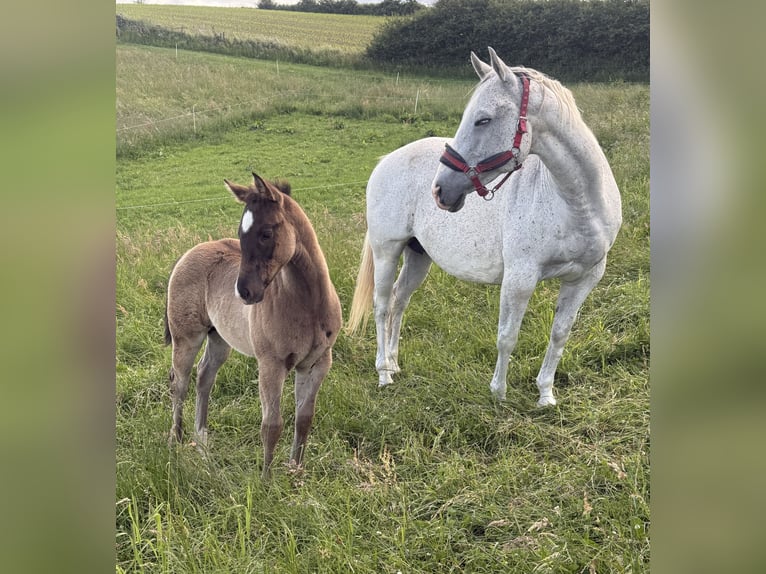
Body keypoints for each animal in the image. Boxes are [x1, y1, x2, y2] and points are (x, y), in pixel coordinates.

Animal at [164, 173, 342, 476]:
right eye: (240, 233)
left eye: (266, 233)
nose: (244, 292)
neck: (309, 305)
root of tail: (188, 253)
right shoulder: (270, 364)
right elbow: (271, 426)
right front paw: (266, 481)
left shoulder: (317, 363)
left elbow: (303, 419)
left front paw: (296, 472)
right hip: (186, 337)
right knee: (180, 382)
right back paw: (176, 439)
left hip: (219, 338)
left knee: (204, 376)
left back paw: (203, 441)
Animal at [347, 48, 622, 407]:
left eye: (483, 119)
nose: (441, 190)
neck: (577, 204)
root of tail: (385, 162)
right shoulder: (520, 278)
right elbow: (507, 335)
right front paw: (499, 394)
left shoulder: (585, 278)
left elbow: (560, 334)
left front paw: (545, 394)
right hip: (387, 250)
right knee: (381, 305)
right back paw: (383, 373)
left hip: (418, 256)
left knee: (398, 300)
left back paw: (394, 363)